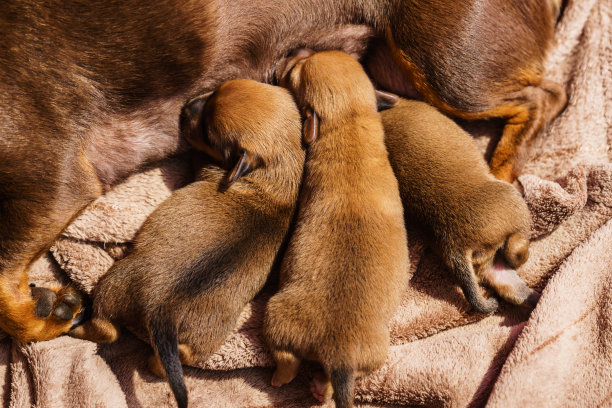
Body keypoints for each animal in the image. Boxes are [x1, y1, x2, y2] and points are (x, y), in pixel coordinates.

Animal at [70, 79, 306, 408]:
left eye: (208, 132)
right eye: (215, 92)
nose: (186, 107)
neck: (279, 168)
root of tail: (162, 310)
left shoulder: (207, 165)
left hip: (112, 286)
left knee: (106, 329)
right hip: (203, 337)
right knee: (180, 356)